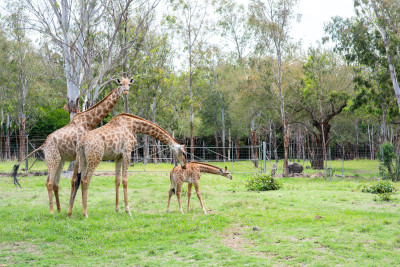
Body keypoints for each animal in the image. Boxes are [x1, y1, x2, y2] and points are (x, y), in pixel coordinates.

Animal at [10, 77, 133, 216]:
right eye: (121, 84)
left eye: (129, 84)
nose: (126, 91)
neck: (88, 121)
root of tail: (43, 145)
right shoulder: (78, 153)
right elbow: (75, 180)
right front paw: (74, 210)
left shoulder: (77, 155)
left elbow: (75, 179)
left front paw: (72, 209)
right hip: (53, 159)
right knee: (49, 182)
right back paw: (51, 211)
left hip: (60, 160)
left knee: (56, 183)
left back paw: (59, 209)